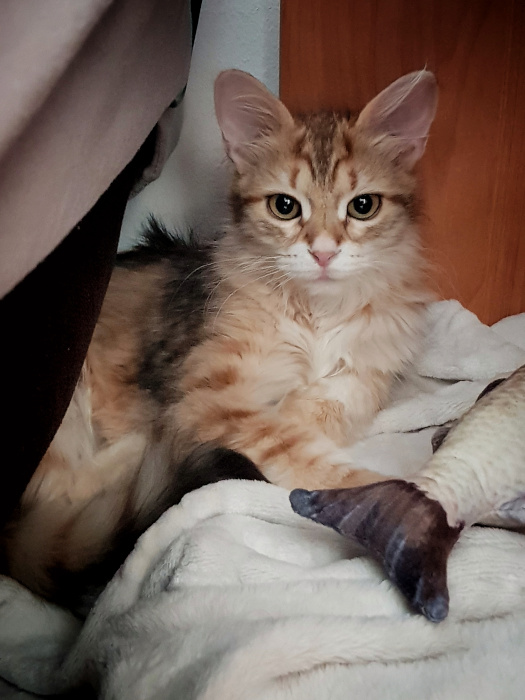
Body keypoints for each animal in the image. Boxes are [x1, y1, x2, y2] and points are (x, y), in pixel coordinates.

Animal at [2, 68, 437, 613]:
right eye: (285, 207)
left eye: (363, 207)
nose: (322, 252)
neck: (317, 314)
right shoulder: (206, 397)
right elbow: (289, 446)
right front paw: (384, 501)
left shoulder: (360, 378)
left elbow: (317, 413)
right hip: (65, 401)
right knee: (58, 492)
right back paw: (142, 452)